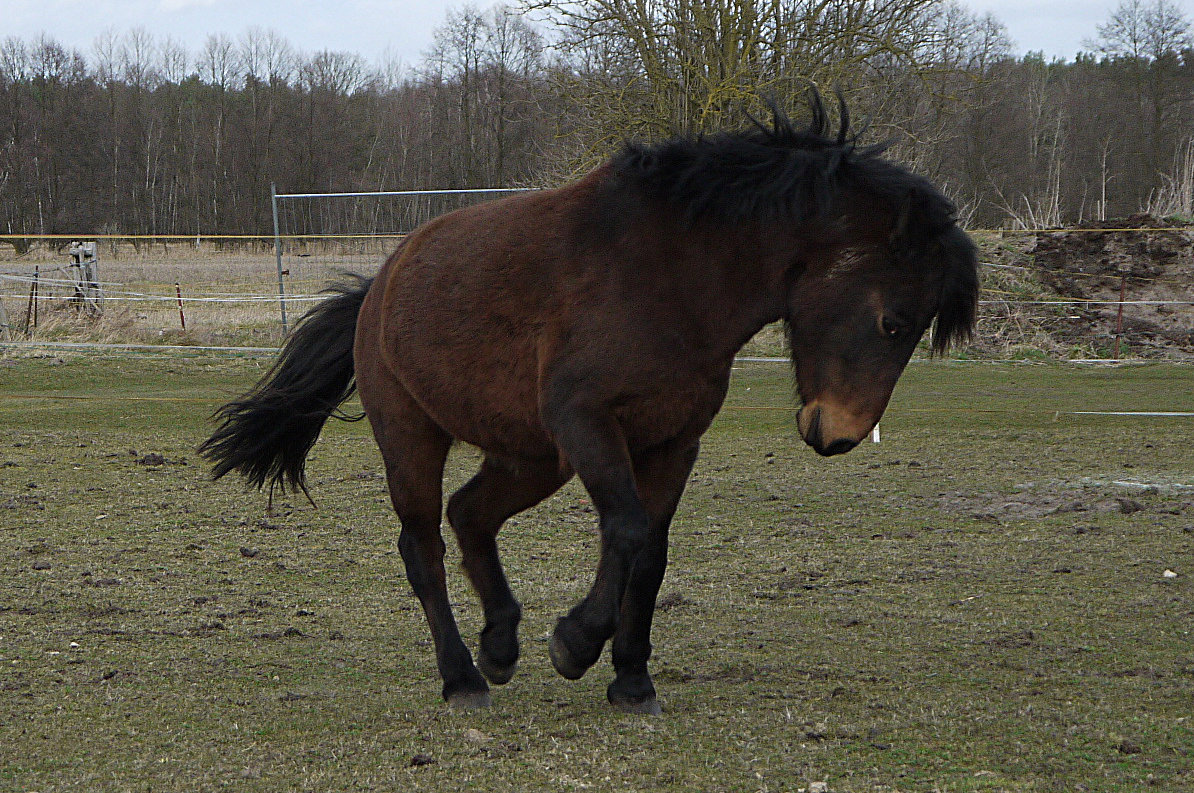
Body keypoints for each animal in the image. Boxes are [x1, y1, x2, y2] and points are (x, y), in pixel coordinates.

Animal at [198, 93, 979, 711]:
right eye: (893, 322)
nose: (839, 433)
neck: (670, 278)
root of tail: (380, 283)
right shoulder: (589, 425)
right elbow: (626, 531)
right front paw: (576, 642)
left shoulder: (671, 443)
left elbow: (651, 552)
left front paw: (631, 679)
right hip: (415, 439)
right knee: (423, 548)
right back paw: (463, 677)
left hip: (533, 458)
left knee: (469, 514)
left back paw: (500, 643)